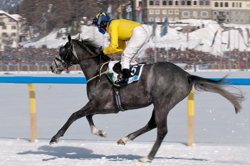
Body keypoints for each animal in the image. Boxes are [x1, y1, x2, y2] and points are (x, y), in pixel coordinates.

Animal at [49, 34, 243, 163]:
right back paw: (125, 139)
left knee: (161, 130)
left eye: (62, 50)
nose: (52, 66)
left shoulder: (99, 104)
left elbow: (74, 115)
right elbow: (86, 116)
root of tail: (187, 75)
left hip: (163, 103)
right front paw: (99, 132)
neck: (98, 72)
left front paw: (55, 138)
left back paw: (147, 157)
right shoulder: (102, 106)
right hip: (158, 104)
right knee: (152, 124)